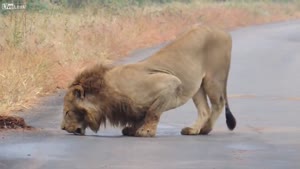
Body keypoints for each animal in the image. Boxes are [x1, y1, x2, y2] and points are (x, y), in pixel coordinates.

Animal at [61, 25, 237, 137]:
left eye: (67, 112)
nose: (62, 128)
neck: (106, 97)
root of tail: (224, 32)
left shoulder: (170, 82)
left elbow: (153, 112)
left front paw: (145, 132)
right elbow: (142, 115)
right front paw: (132, 129)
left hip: (213, 78)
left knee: (218, 103)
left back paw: (205, 129)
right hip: (197, 86)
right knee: (204, 109)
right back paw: (193, 130)